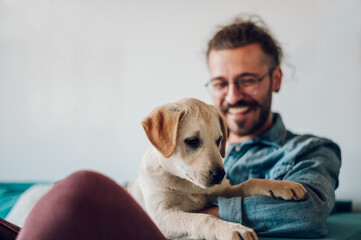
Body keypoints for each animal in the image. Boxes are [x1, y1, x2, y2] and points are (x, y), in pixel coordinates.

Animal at [126, 98, 306, 240]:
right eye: (192, 141)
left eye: (219, 140)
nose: (220, 175)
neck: (189, 185)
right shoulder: (159, 214)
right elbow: (201, 218)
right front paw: (233, 228)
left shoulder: (222, 190)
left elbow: (250, 183)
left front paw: (282, 185)